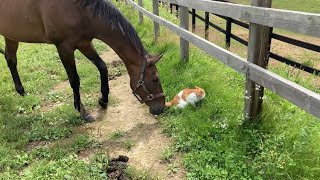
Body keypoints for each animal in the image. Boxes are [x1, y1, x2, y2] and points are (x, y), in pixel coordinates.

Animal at [0, 0, 165, 121]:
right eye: (155, 79)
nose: (161, 107)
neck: (79, 10)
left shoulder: (84, 44)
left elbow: (102, 66)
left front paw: (103, 100)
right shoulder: (64, 48)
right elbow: (74, 80)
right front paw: (83, 112)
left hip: (11, 36)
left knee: (11, 60)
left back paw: (21, 92)